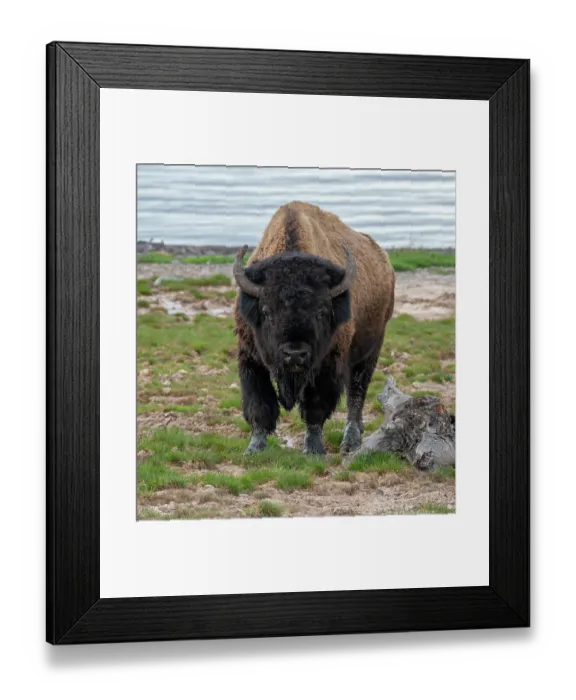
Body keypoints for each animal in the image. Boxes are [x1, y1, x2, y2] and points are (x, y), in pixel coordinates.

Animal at [233, 201, 395, 456]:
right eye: (267, 311)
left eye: (322, 311)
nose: (294, 354)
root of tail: (385, 261)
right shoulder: (251, 360)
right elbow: (259, 404)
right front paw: (254, 447)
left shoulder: (327, 365)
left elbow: (316, 407)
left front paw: (313, 449)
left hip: (371, 350)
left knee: (356, 393)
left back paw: (351, 441)